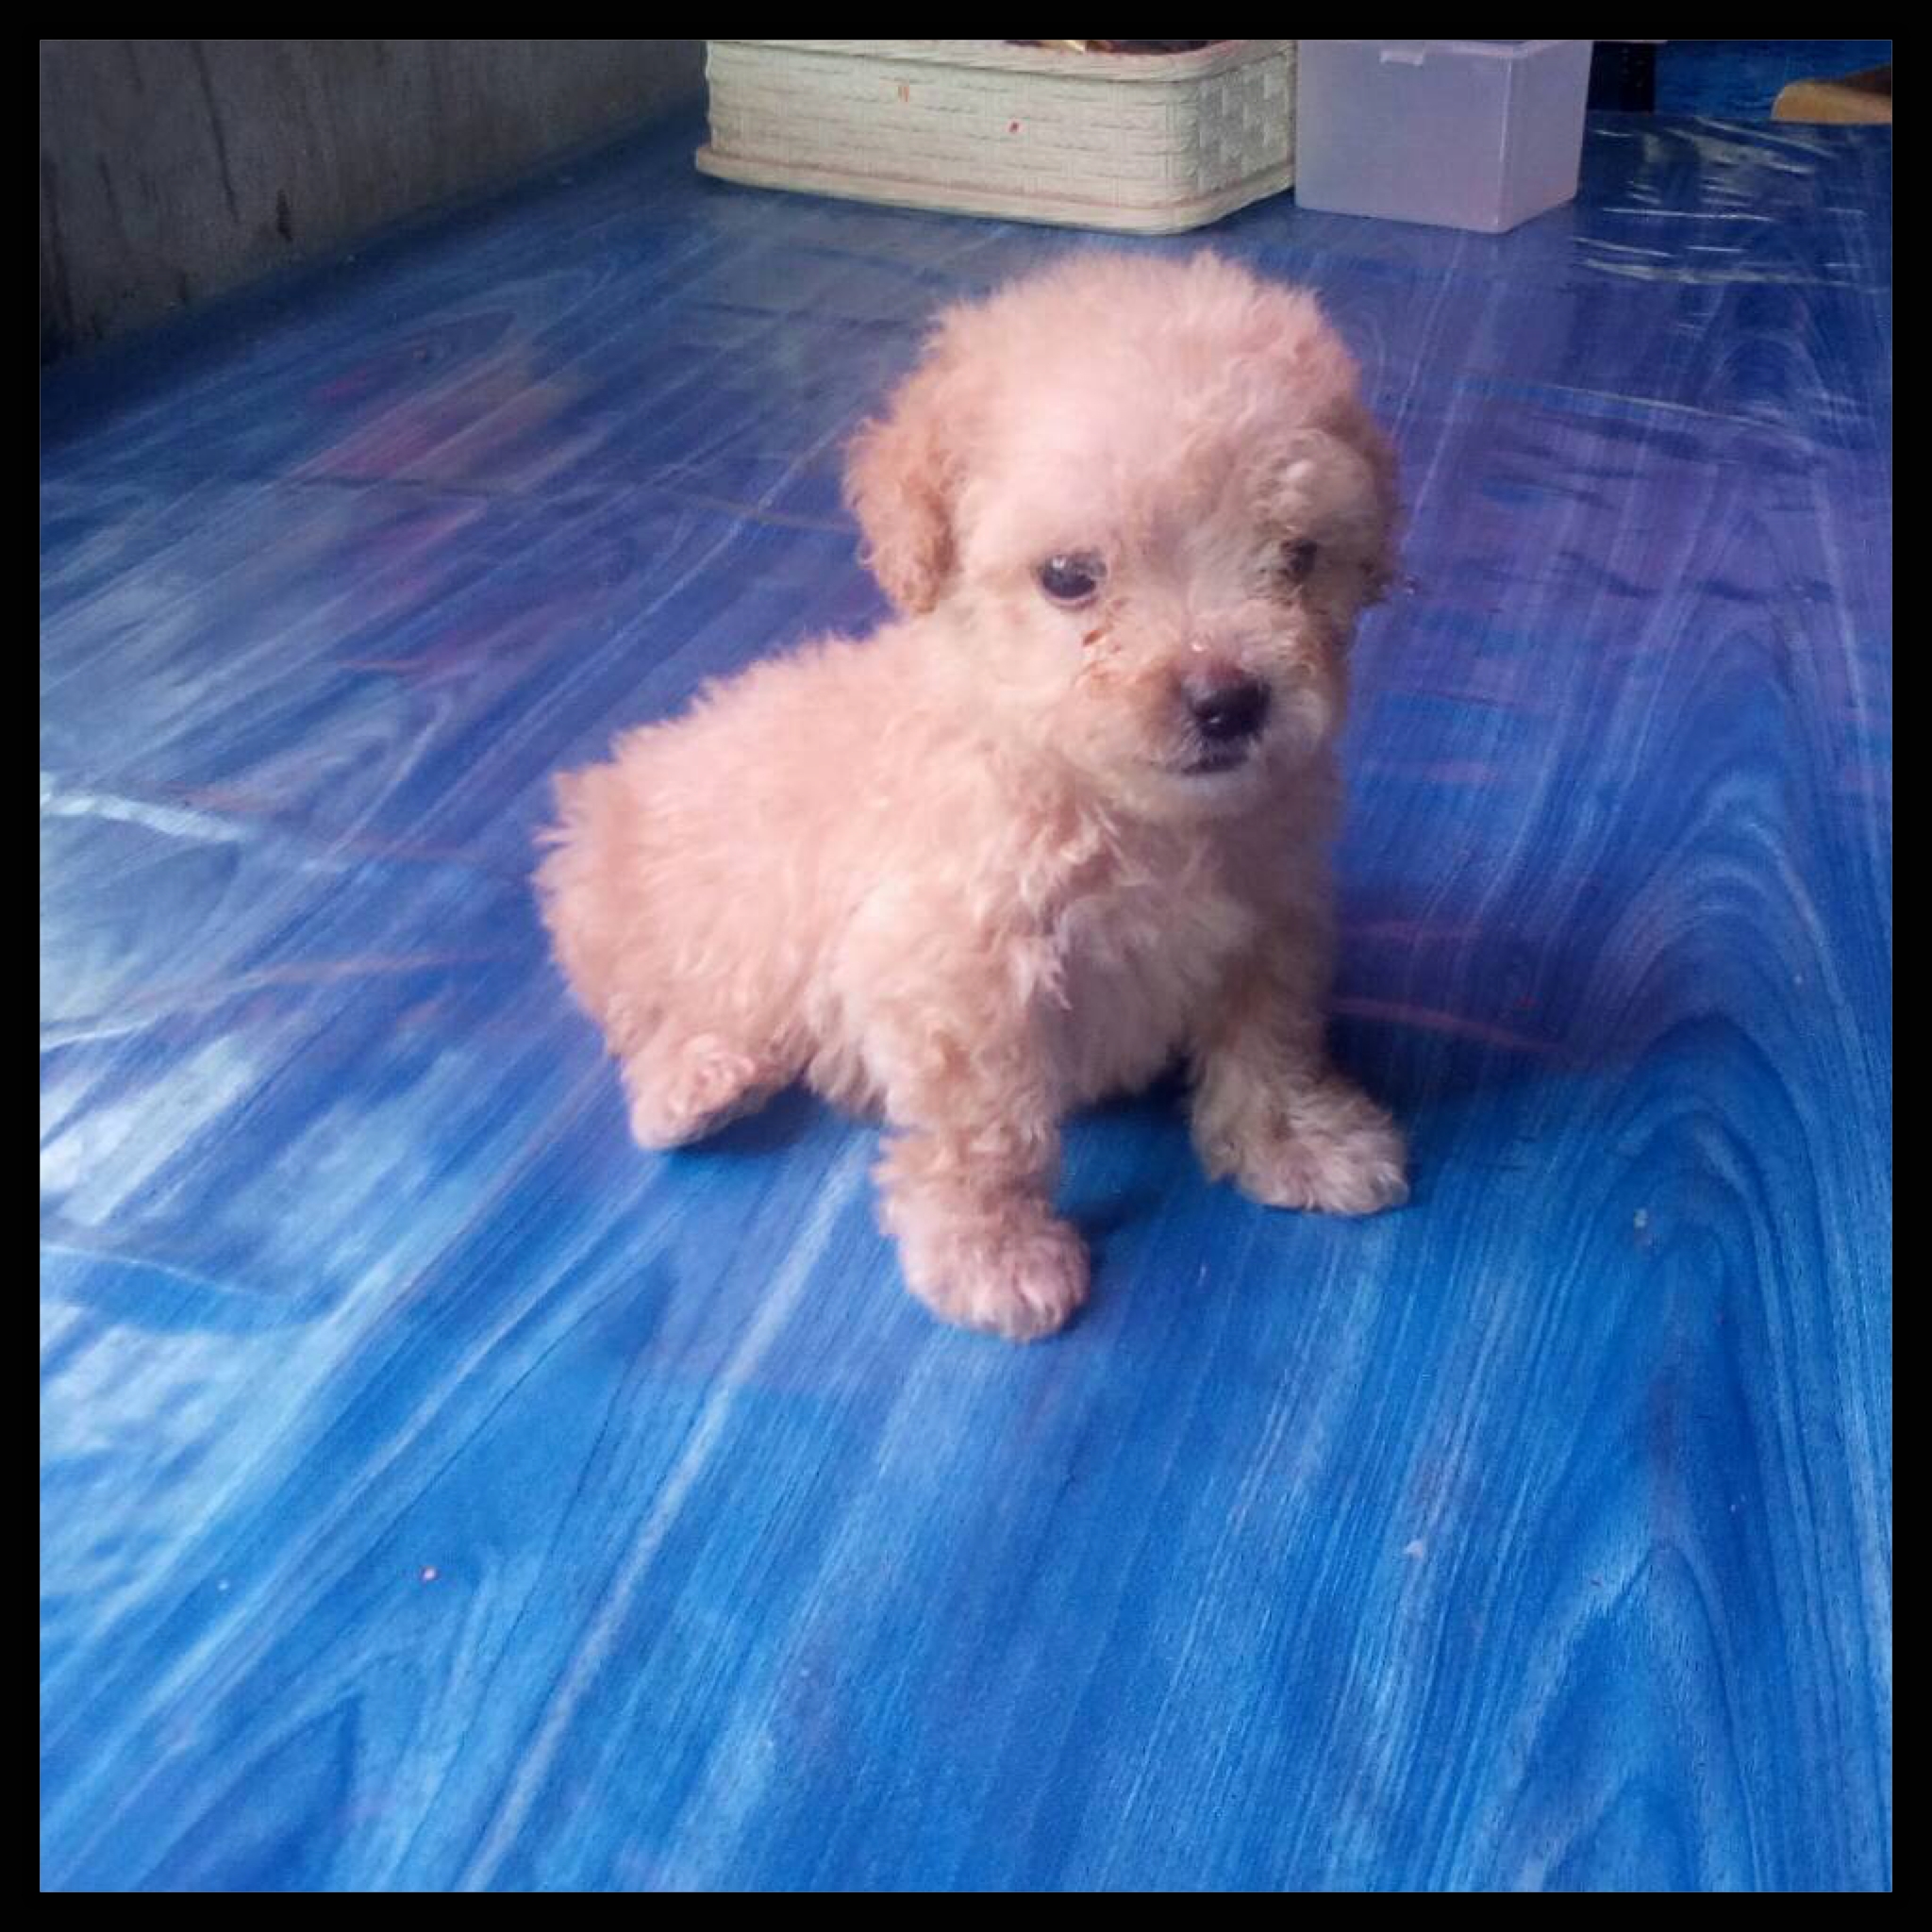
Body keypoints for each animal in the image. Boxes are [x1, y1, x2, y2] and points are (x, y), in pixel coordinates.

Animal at [537, 250, 1407, 1340]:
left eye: (1297, 558)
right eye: (1069, 578)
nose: (1226, 700)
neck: (1123, 806)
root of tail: (608, 792)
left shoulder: (1273, 910)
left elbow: (1270, 1034)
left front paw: (1296, 1139)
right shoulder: (957, 970)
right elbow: (985, 1127)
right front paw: (992, 1252)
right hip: (659, 922)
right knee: (644, 1018)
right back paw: (693, 1083)